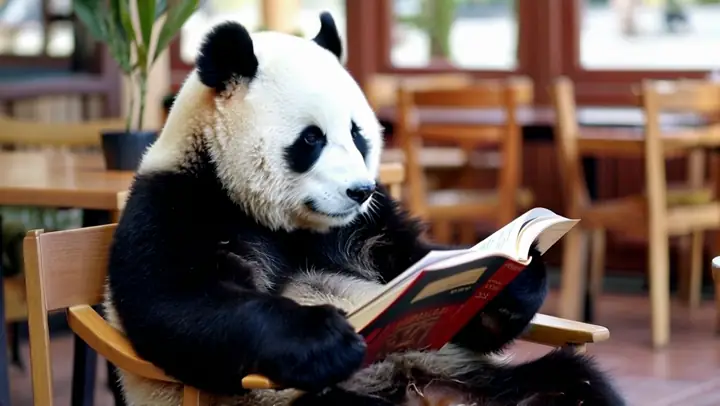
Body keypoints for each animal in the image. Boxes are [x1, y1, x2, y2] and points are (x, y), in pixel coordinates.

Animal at [104, 12, 626, 406]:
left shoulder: (372, 226)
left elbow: (433, 278)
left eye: (357, 134)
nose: (360, 190)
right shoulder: (176, 204)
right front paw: (324, 336)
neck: (287, 223)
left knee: (572, 383)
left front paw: (514, 272)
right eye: (311, 139)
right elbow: (178, 304)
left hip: (473, 376)